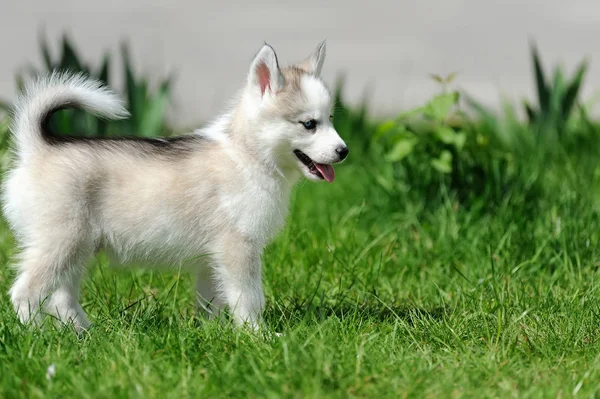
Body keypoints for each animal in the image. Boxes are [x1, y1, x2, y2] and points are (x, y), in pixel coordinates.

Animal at [1, 42, 346, 332]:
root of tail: (36, 148)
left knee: (62, 297)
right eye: (309, 124)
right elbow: (248, 298)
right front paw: (257, 335)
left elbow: (212, 300)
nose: (344, 151)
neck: (248, 155)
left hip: (77, 249)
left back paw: (87, 335)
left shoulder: (212, 258)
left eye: (331, 118)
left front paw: (213, 334)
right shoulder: (238, 247)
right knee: (25, 292)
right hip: (60, 243)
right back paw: (38, 334)